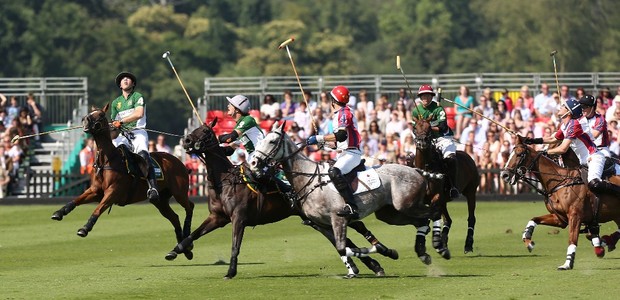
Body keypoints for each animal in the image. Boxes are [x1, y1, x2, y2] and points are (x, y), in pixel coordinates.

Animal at [50, 104, 195, 258]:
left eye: (101, 114)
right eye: (90, 112)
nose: (85, 120)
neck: (107, 160)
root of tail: (179, 162)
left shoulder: (113, 192)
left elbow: (98, 209)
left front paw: (85, 228)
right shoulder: (95, 190)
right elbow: (76, 200)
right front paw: (59, 213)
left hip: (179, 192)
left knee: (189, 206)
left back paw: (187, 237)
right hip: (160, 201)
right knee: (174, 217)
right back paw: (185, 248)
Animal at [165, 119, 398, 278]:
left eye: (205, 131)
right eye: (195, 129)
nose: (186, 140)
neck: (225, 181)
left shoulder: (239, 218)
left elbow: (235, 244)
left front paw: (230, 271)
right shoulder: (217, 217)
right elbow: (193, 235)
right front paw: (175, 252)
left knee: (352, 229)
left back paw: (377, 258)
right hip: (314, 218)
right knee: (342, 238)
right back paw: (368, 264)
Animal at [248, 122, 440, 276]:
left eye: (272, 141)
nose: (254, 163)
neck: (309, 179)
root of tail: (415, 170)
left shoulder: (338, 218)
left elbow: (343, 247)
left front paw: (380, 252)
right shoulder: (322, 224)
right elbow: (343, 248)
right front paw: (384, 253)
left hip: (406, 205)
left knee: (433, 212)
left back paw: (438, 244)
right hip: (391, 214)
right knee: (421, 221)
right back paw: (423, 252)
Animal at [412, 116, 480, 254]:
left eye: (429, 127)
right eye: (415, 127)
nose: (422, 142)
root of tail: (468, 155)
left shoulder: (437, 196)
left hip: (470, 192)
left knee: (471, 218)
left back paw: (468, 245)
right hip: (445, 201)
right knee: (448, 220)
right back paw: (443, 242)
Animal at [498, 135, 620, 270]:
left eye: (520, 154)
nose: (504, 175)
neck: (560, 182)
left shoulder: (575, 216)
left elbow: (572, 239)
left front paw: (567, 264)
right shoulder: (560, 218)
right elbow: (534, 219)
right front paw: (528, 241)